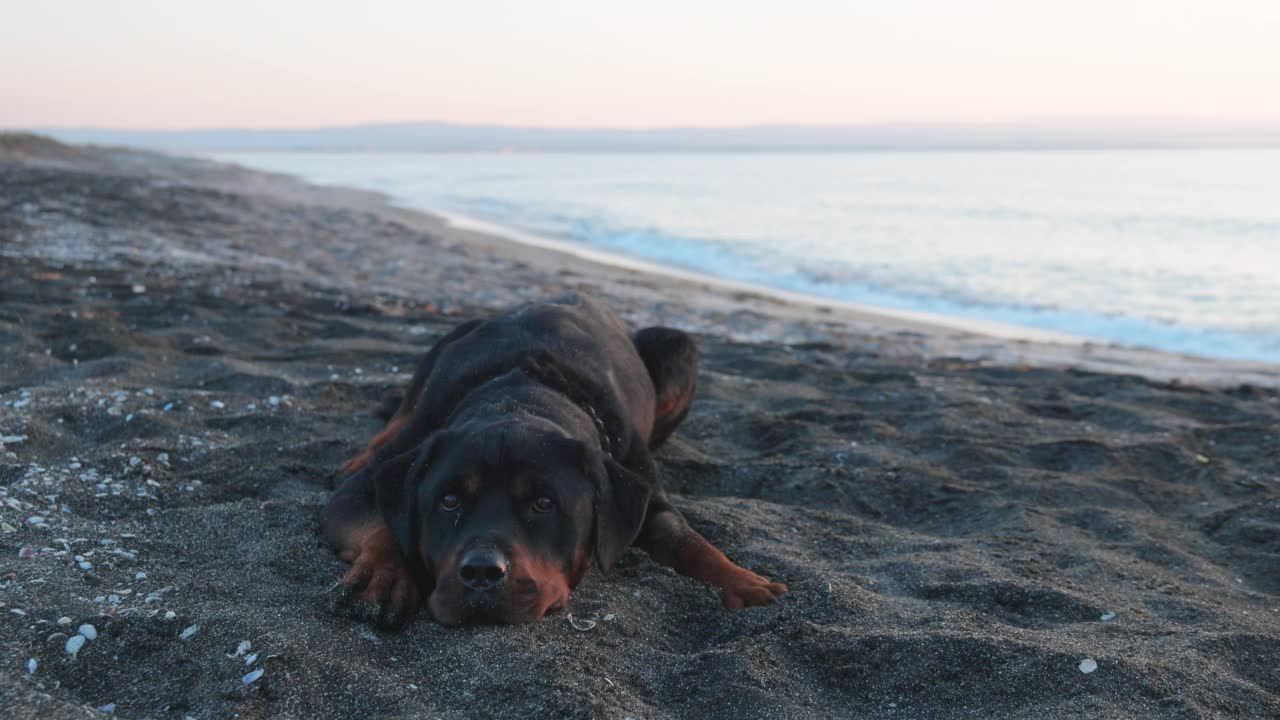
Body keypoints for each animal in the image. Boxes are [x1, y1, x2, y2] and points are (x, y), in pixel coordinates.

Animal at [325, 292, 783, 622]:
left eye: (544, 504)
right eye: (448, 501)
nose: (481, 572)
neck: (526, 392)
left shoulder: (645, 492)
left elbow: (685, 538)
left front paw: (745, 581)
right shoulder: (373, 484)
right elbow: (383, 521)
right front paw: (385, 575)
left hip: (677, 345)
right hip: (443, 348)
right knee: (400, 413)